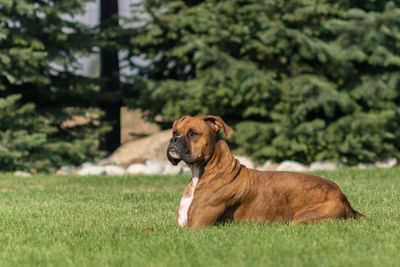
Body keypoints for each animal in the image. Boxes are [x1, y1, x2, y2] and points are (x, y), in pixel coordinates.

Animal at [167, 115, 364, 230]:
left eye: (193, 133)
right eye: (175, 131)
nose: (174, 140)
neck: (201, 173)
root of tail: (344, 199)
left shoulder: (196, 227)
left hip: (300, 218)